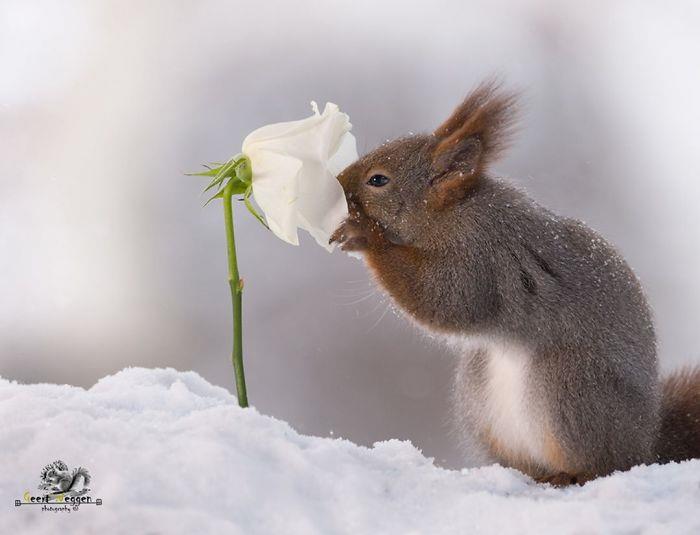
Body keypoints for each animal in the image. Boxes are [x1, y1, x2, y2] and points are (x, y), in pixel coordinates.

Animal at [330, 79, 700, 486]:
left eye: (378, 180)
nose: (337, 183)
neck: (451, 213)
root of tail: (646, 445)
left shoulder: (482, 255)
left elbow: (445, 300)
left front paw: (364, 234)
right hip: (479, 398)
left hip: (570, 386)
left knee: (603, 464)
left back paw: (570, 475)